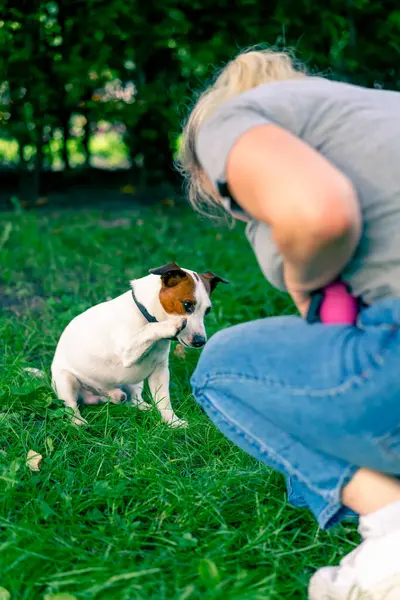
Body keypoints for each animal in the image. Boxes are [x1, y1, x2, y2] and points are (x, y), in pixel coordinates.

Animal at [49, 262, 228, 426]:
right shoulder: (127, 351)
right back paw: (78, 422)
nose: (200, 341)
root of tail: (104, 394)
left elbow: (164, 400)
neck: (144, 312)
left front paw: (172, 422)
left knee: (133, 400)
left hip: (135, 383)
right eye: (187, 304)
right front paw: (172, 325)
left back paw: (144, 407)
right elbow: (149, 329)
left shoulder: (159, 370)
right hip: (65, 381)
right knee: (70, 406)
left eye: (207, 311)